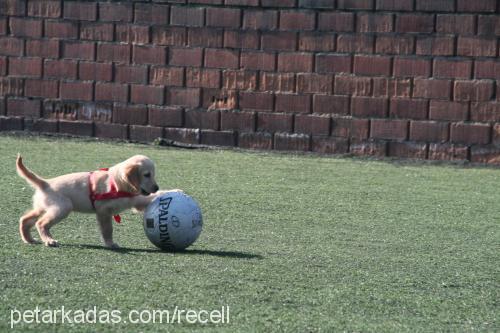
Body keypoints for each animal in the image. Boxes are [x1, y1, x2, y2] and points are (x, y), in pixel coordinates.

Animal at [15, 154, 163, 248]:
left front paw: (167, 192)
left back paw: (28, 239)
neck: (118, 183)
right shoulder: (104, 211)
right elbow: (108, 229)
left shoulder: (135, 199)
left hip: (43, 207)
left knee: (25, 219)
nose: (156, 187)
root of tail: (46, 183)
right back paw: (49, 240)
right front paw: (110, 244)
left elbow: (149, 198)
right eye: (147, 175)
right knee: (41, 223)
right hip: (63, 207)